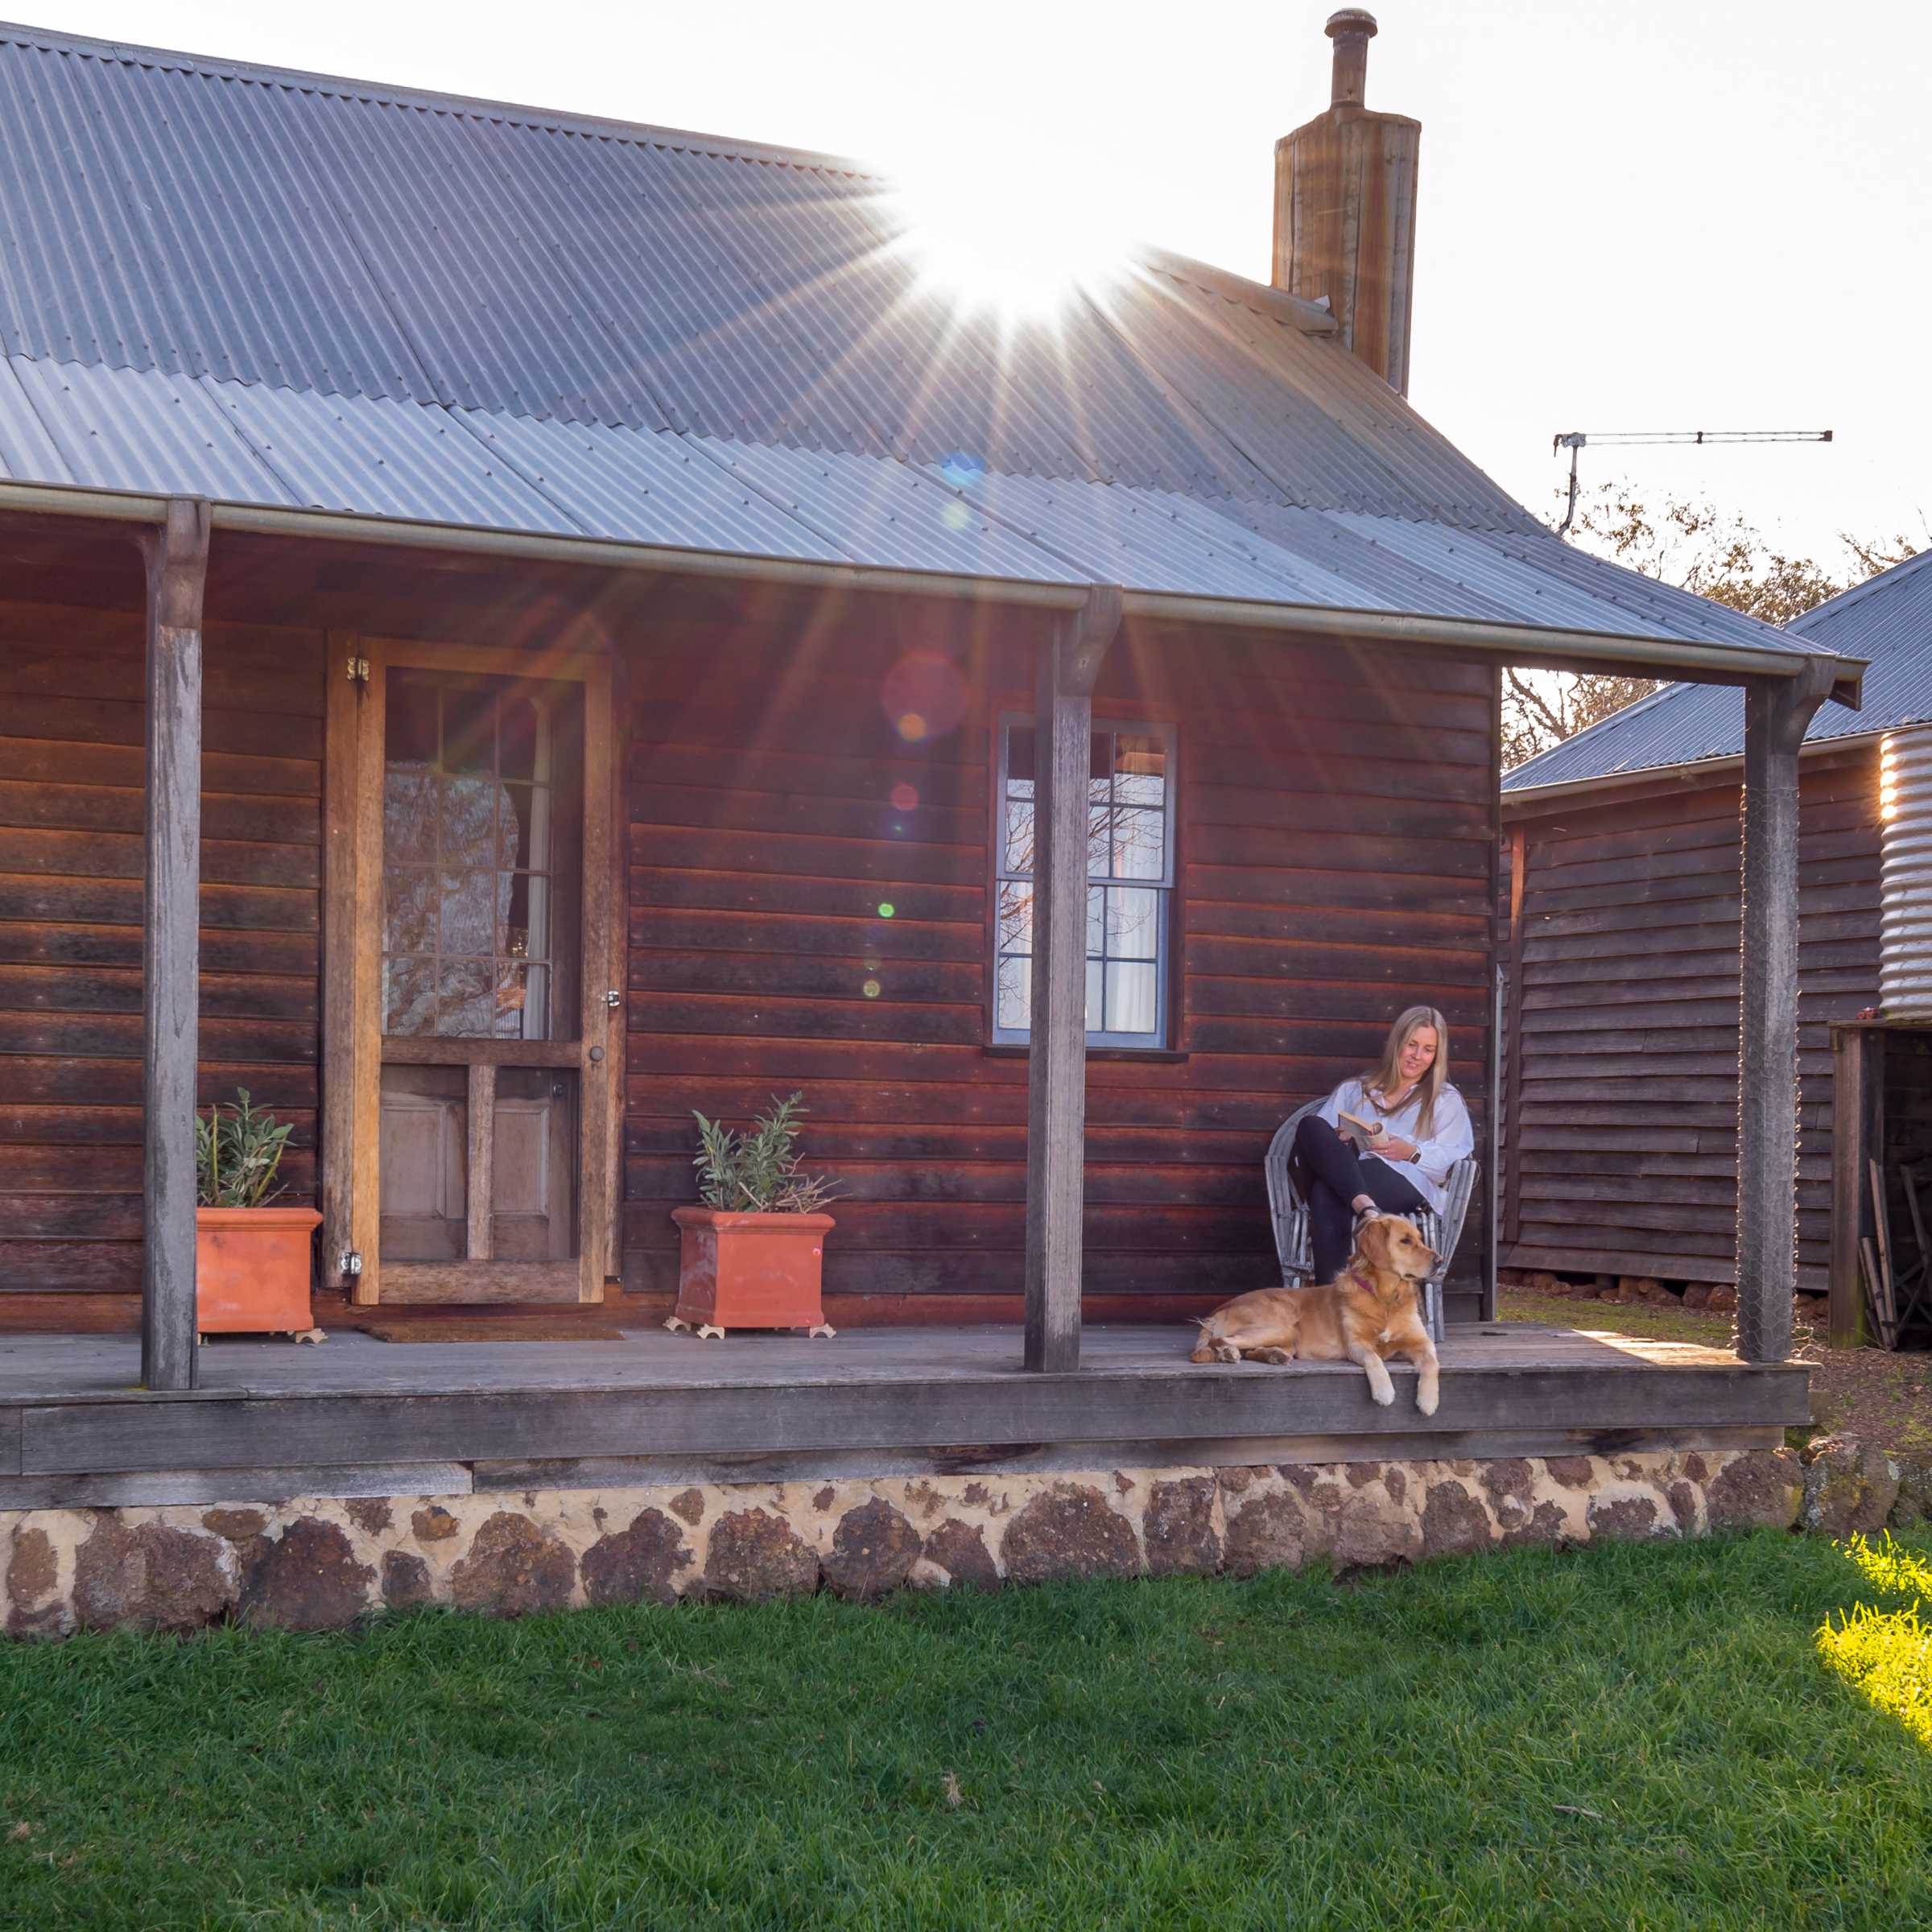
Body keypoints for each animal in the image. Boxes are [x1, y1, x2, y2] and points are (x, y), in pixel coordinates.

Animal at [1182, 1205, 1445, 1422]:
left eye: (1421, 1239)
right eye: (1405, 1241)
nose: (1441, 1260)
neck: (1385, 1298)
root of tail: (1221, 1309)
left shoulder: (1421, 1342)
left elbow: (1433, 1362)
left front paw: (1429, 1401)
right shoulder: (1356, 1344)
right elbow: (1374, 1358)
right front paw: (1384, 1391)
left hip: (1287, 1338)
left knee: (1250, 1350)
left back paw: (1273, 1356)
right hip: (1280, 1326)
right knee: (1221, 1340)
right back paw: (1229, 1352)